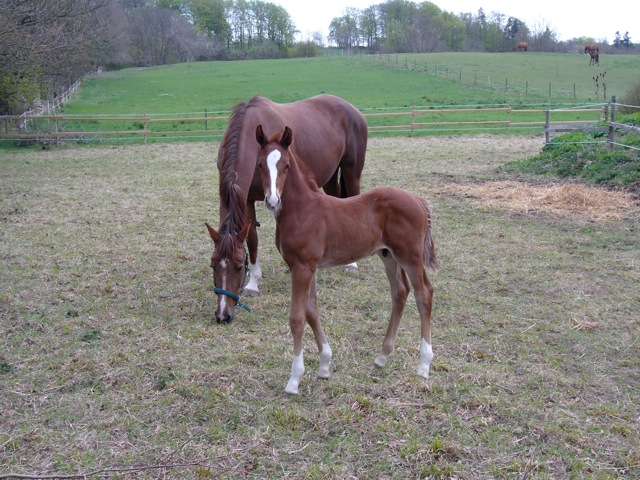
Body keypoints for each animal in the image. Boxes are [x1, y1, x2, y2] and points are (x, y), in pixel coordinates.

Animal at [208, 94, 368, 322]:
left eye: (239, 267)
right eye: (213, 265)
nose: (223, 316)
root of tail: (352, 110)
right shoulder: (246, 199)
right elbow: (252, 237)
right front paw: (254, 282)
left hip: (351, 172)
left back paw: (351, 264)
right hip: (330, 176)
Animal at [258, 125, 438, 396]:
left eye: (286, 165)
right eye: (260, 164)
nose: (272, 201)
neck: (302, 210)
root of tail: (418, 200)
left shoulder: (302, 267)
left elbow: (297, 317)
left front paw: (294, 379)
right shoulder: (307, 267)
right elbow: (312, 310)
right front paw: (324, 366)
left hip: (411, 256)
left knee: (423, 293)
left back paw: (424, 365)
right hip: (388, 255)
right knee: (400, 292)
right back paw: (382, 357)